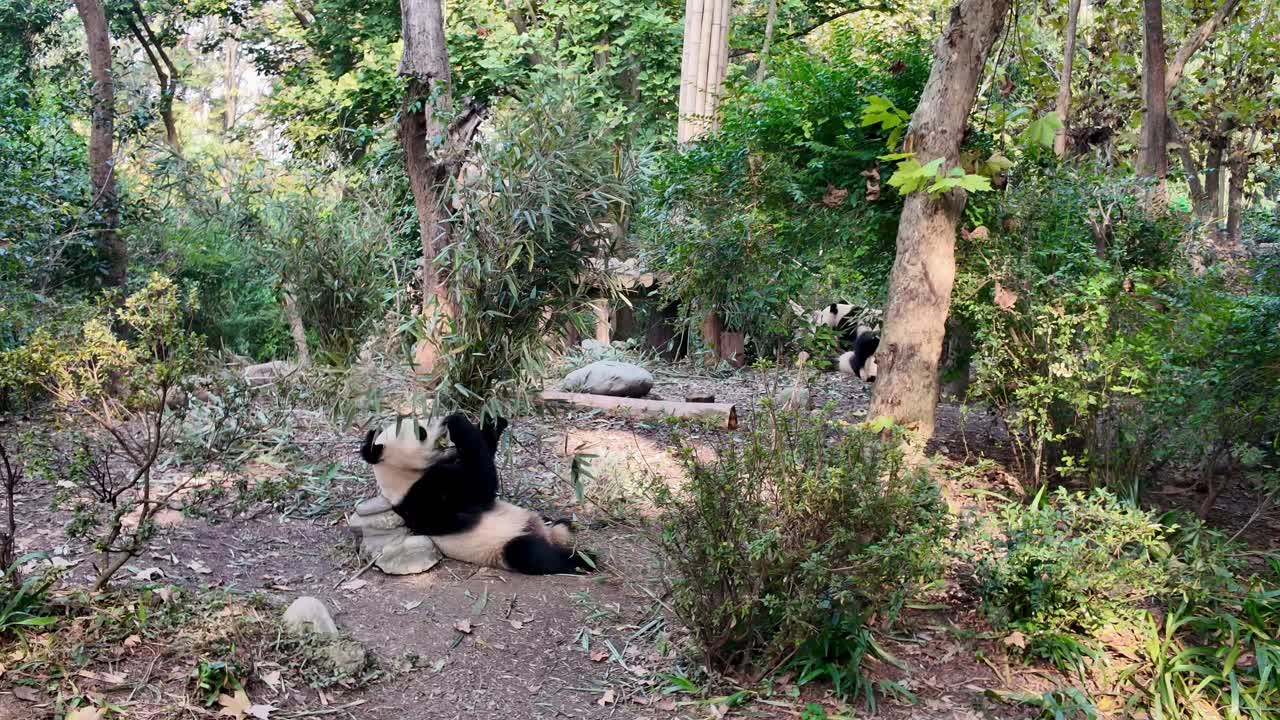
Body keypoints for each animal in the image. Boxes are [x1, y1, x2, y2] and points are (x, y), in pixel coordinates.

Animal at [359, 412, 592, 575]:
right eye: (421, 431)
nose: (441, 422)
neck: (400, 476)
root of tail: (544, 533)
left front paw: (492, 422)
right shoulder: (424, 496)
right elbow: (480, 484)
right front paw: (458, 421)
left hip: (537, 523)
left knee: (554, 526)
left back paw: (567, 526)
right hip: (501, 548)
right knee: (532, 554)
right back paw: (583, 559)